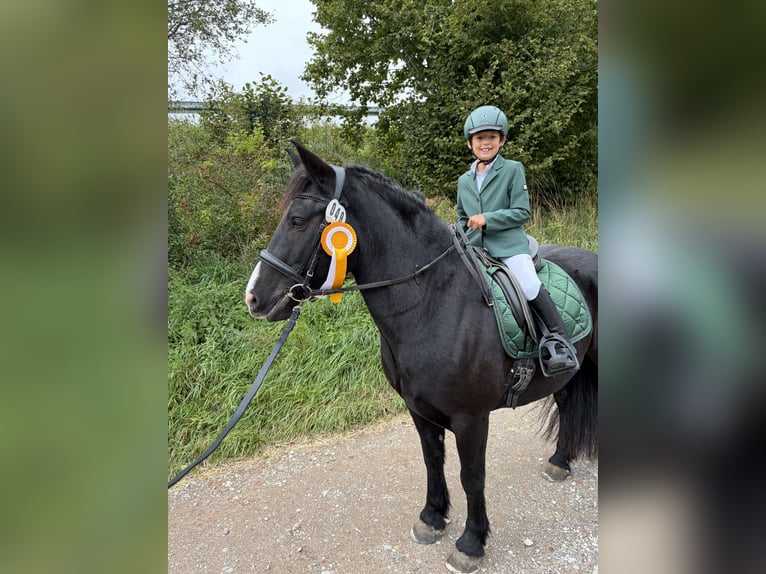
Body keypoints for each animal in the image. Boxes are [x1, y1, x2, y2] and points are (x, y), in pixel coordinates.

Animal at [245, 142, 598, 573]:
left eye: (296, 221)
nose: (254, 298)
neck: (432, 301)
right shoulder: (418, 408)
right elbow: (433, 461)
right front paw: (432, 518)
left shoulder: (471, 418)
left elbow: (471, 476)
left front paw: (470, 543)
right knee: (566, 403)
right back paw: (560, 461)